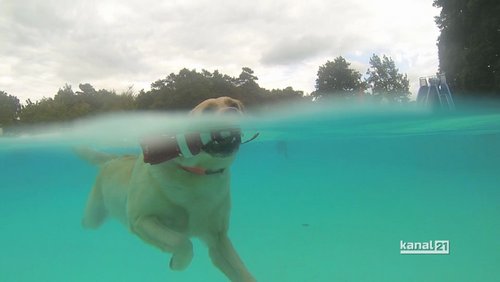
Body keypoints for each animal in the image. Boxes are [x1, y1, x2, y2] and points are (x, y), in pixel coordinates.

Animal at [79, 97, 258, 282]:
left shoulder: (218, 239)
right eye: (207, 111)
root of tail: (115, 158)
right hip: (94, 217)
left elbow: (241, 271)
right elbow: (182, 242)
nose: (232, 112)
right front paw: (178, 264)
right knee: (87, 222)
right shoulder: (141, 219)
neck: (197, 174)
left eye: (234, 104)